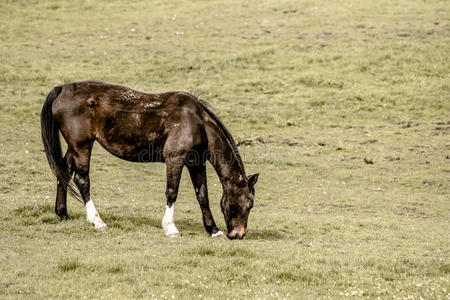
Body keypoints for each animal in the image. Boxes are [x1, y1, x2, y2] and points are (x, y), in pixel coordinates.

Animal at [42, 79, 260, 239]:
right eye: (249, 204)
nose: (239, 234)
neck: (196, 122)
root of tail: (62, 89)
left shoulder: (196, 163)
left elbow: (202, 196)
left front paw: (213, 230)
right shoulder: (175, 159)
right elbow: (172, 192)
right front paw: (170, 228)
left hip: (74, 147)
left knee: (64, 172)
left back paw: (63, 214)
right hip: (82, 146)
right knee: (82, 180)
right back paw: (97, 221)